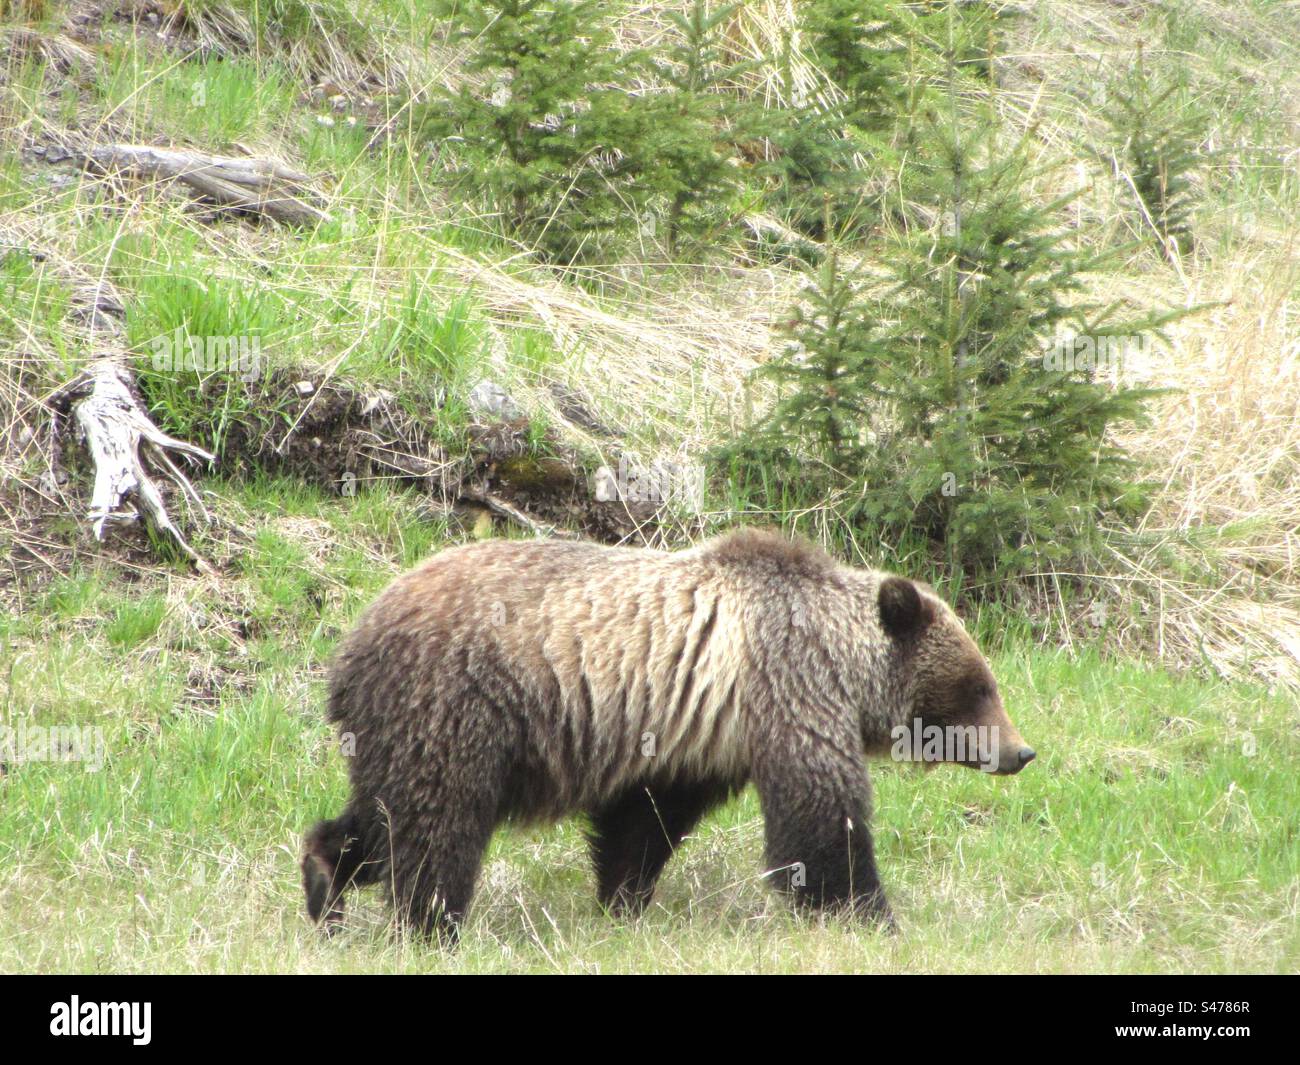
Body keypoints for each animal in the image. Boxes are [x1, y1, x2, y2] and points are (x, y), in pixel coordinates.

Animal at [302, 528, 1034, 942]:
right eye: (979, 686)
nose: (1020, 752)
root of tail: (350, 646)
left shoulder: (695, 738)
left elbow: (644, 821)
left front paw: (622, 899)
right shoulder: (788, 681)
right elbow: (819, 818)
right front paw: (870, 914)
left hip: (408, 728)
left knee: (383, 816)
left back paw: (323, 880)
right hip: (462, 705)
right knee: (437, 828)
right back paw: (432, 925)